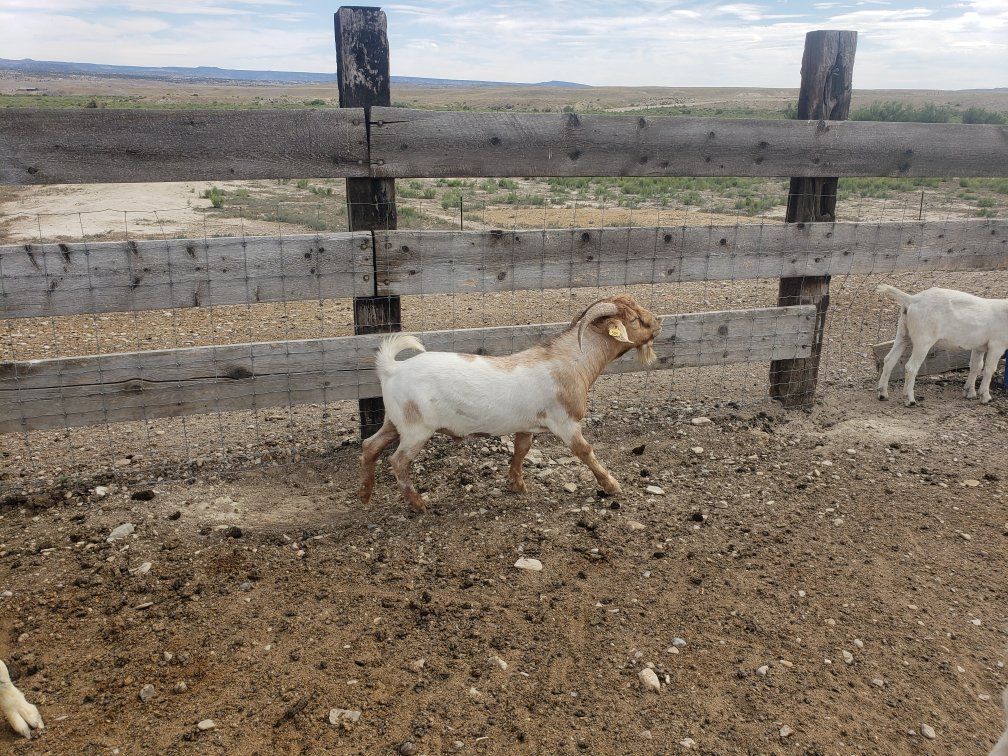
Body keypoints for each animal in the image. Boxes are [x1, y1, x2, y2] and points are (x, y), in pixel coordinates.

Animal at [359, 295, 662, 512]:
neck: (573, 361)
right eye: (635, 319)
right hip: (416, 428)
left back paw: (365, 494)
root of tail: (392, 369)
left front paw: (517, 485)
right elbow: (585, 451)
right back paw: (419, 504)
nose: (658, 321)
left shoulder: (527, 423)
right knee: (398, 461)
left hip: (394, 421)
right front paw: (611, 485)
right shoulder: (565, 422)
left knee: (370, 445)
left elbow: (521, 450)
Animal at [877, 285, 1007, 406]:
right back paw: (910, 400)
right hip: (923, 339)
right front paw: (986, 397)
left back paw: (882, 394)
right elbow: (989, 369)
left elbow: (976, 366)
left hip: (903, 333)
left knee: (889, 360)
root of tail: (912, 299)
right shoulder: (997, 345)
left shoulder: (978, 346)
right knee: (911, 367)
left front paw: (969, 392)